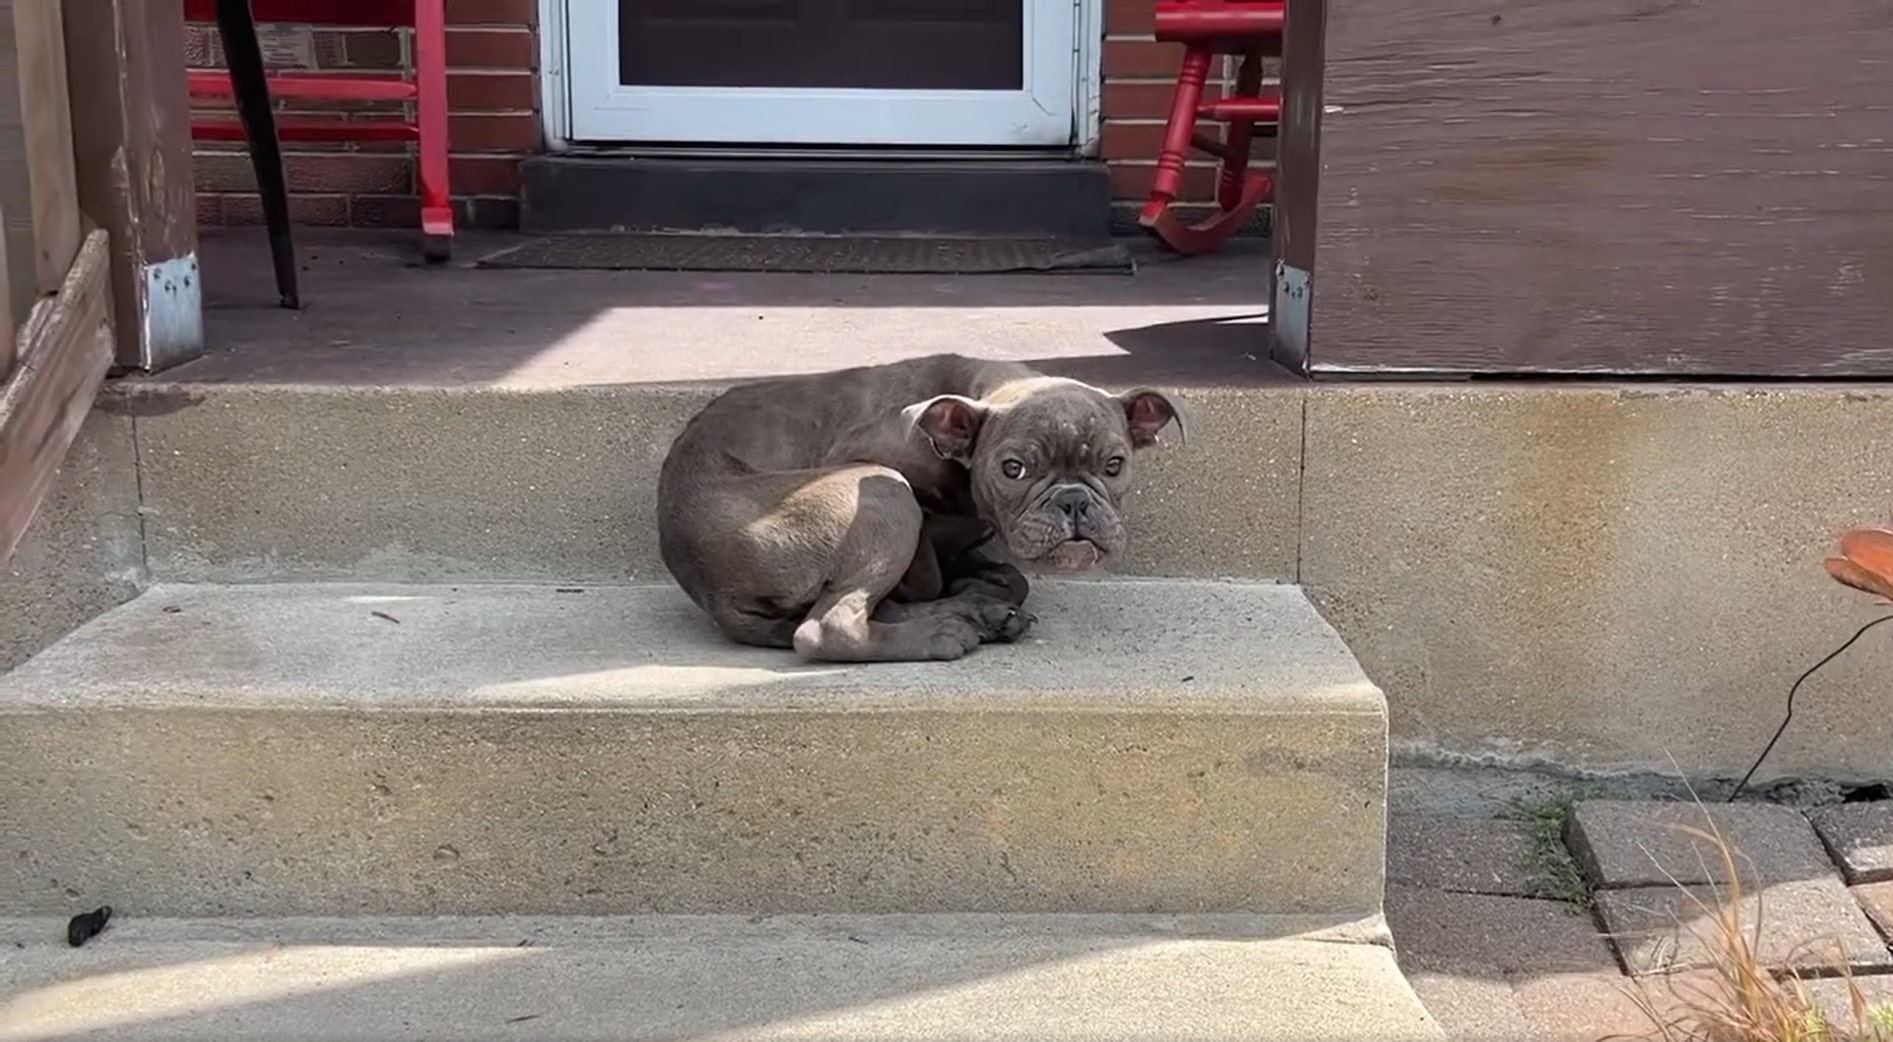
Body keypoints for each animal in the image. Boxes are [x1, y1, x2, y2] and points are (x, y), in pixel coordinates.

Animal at [658, 356, 1173, 666]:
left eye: (1114, 465)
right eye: (1014, 469)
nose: (1073, 500)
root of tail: (708, 587)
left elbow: (1010, 576)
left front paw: (980, 586)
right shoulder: (869, 461)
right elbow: (930, 570)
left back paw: (977, 614)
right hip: (883, 492)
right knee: (827, 626)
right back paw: (943, 631)